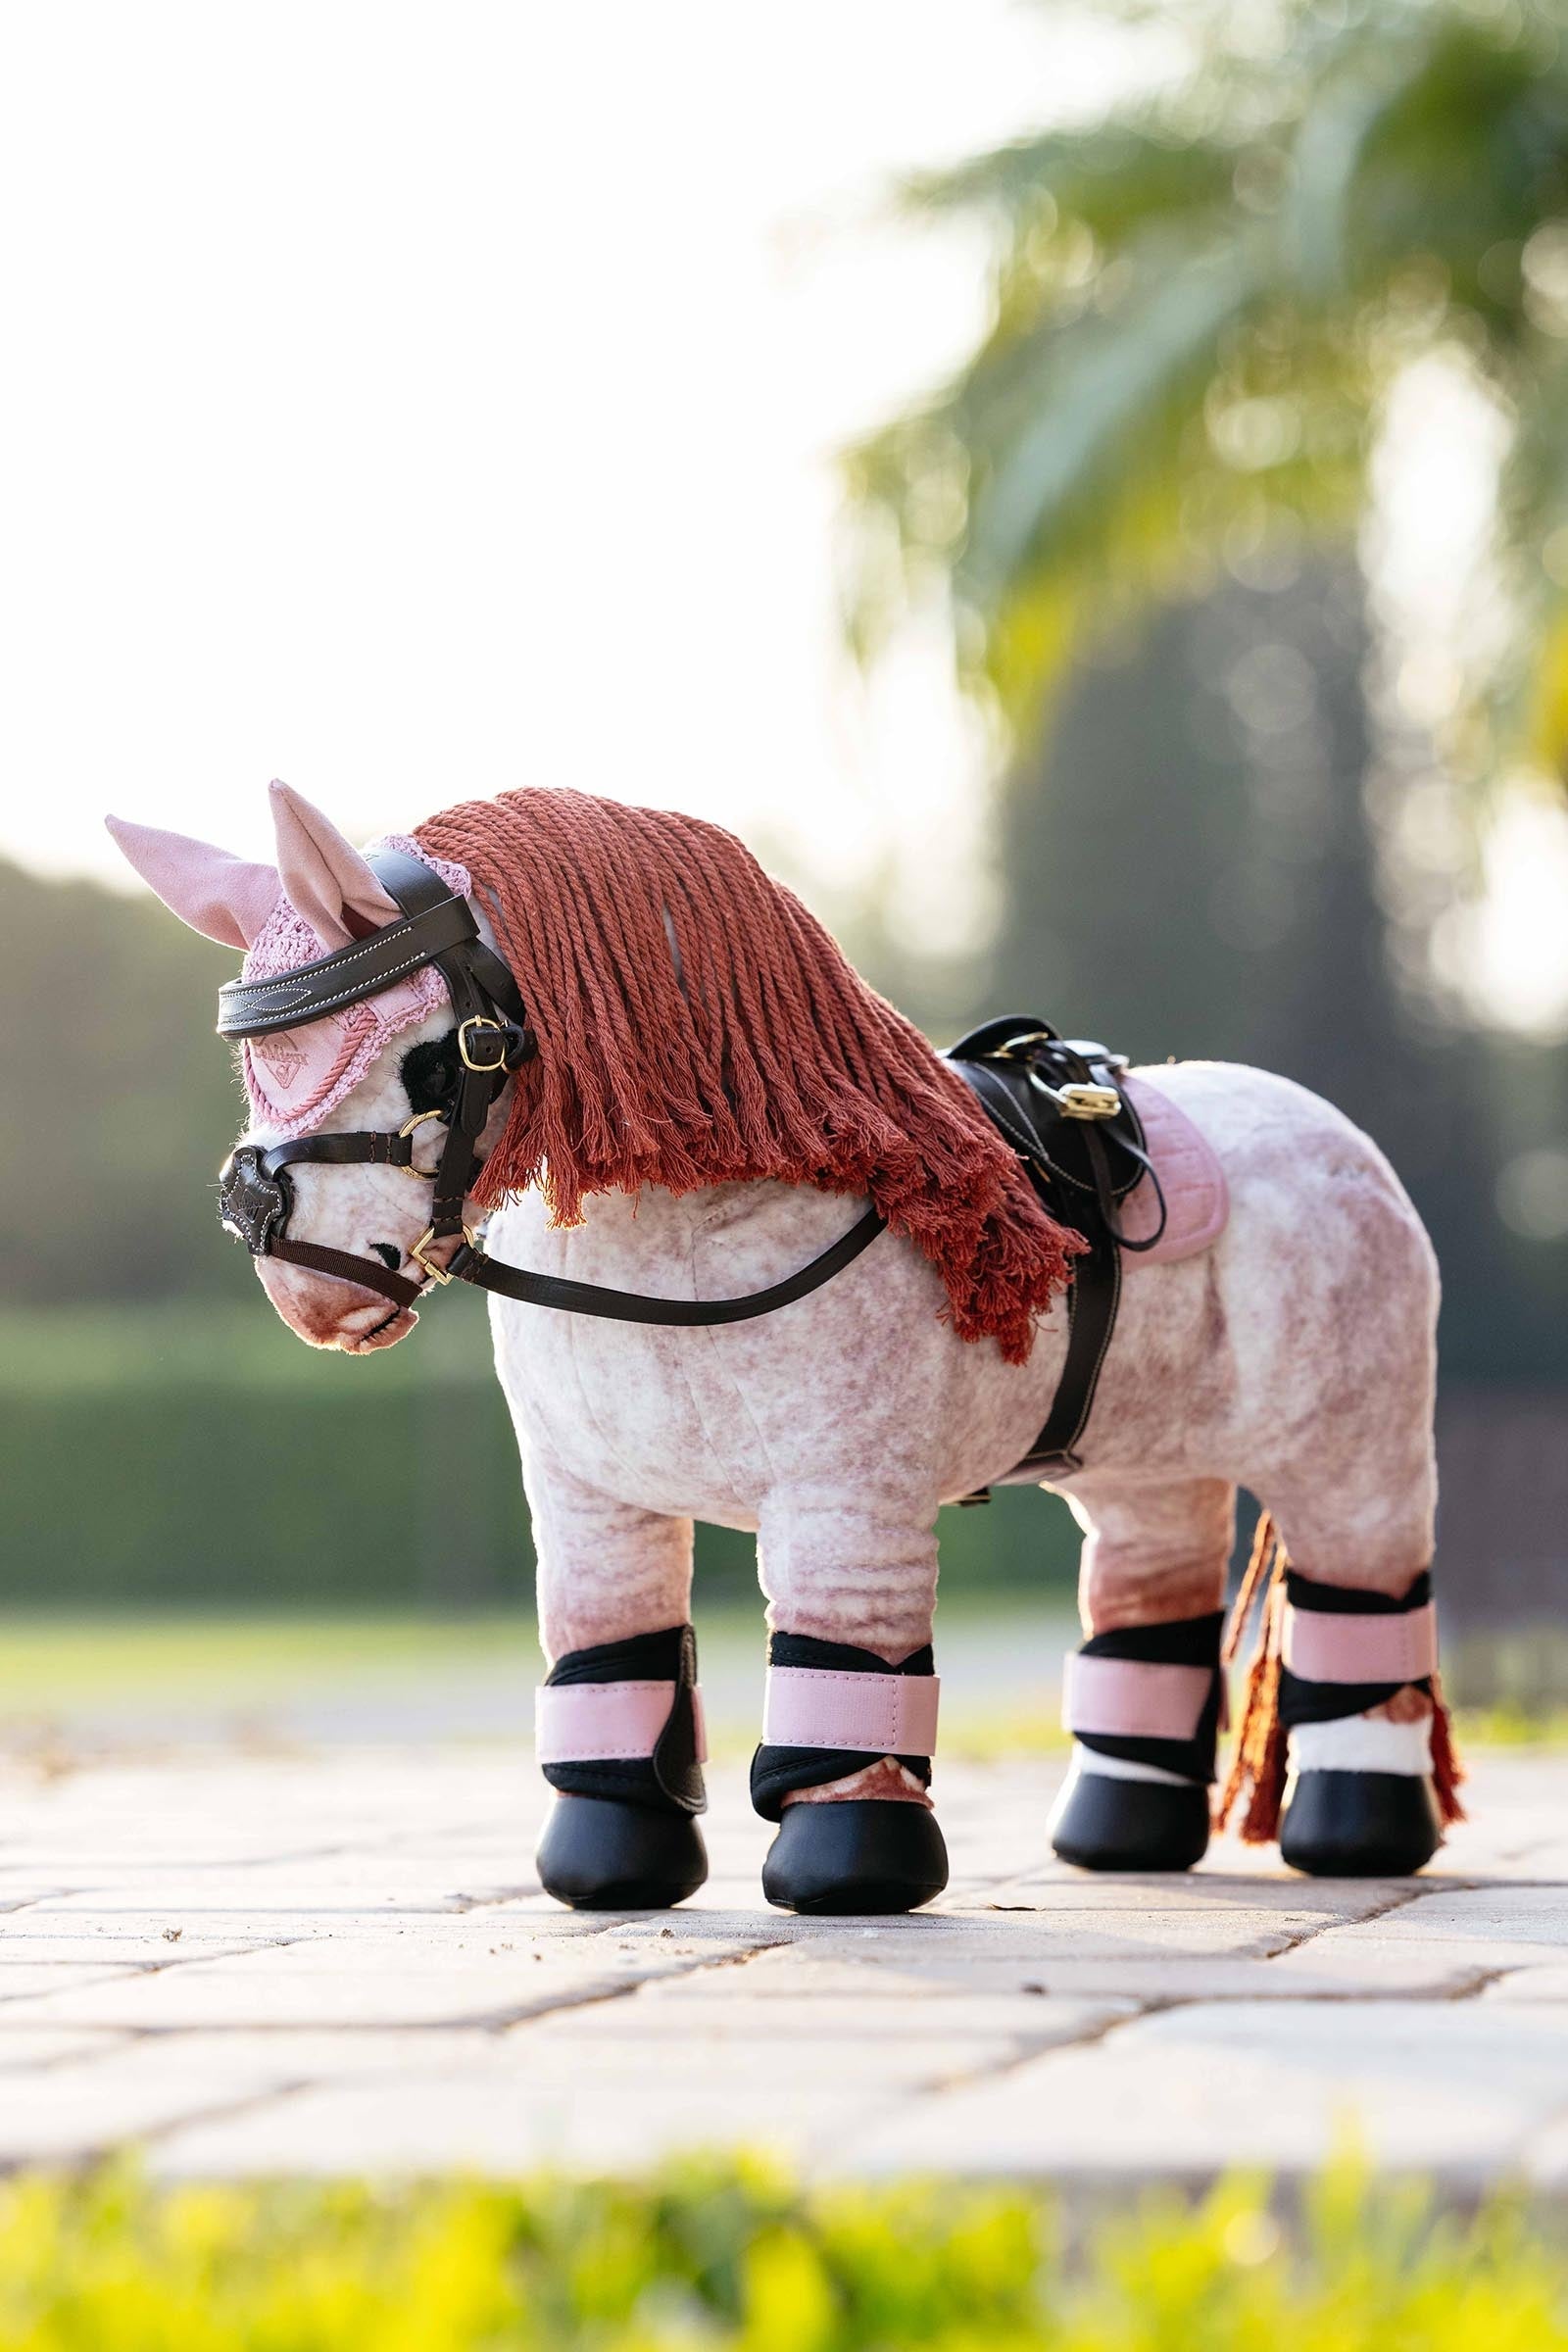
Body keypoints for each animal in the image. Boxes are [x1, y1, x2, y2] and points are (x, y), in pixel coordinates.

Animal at [107, 780, 1461, 1914]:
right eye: (253, 1061)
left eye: (435, 1055)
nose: (289, 1263)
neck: (680, 1233)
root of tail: (1334, 1132)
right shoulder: (588, 1499)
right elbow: (608, 1653)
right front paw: (609, 1872)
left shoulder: (845, 1495)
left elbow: (840, 1664)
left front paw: (849, 1874)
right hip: (1144, 1461)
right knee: (1149, 1595)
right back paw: (1117, 1840)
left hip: (1352, 1448)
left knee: (1363, 1602)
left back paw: (1356, 1834)